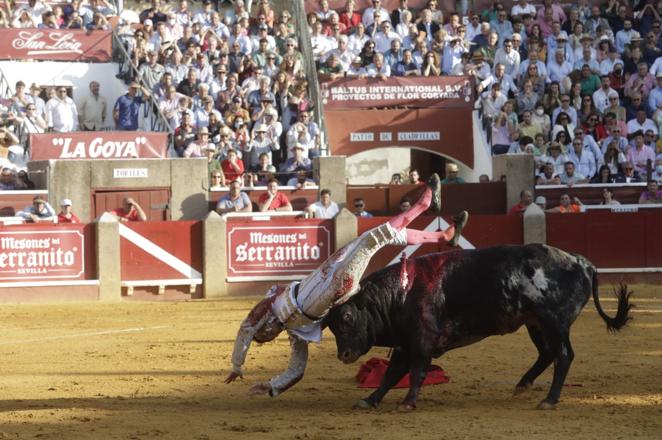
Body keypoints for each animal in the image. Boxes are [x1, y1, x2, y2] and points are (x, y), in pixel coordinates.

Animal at [324, 244, 636, 410]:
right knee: (547, 354)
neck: (400, 293)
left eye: (348, 317)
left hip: (554, 322)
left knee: (563, 356)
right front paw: (369, 400)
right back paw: (522, 385)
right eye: (331, 326)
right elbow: (390, 375)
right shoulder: (404, 343)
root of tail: (584, 263)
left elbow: (416, 373)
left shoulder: (422, 341)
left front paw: (408, 403)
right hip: (535, 323)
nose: (344, 355)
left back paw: (549, 399)